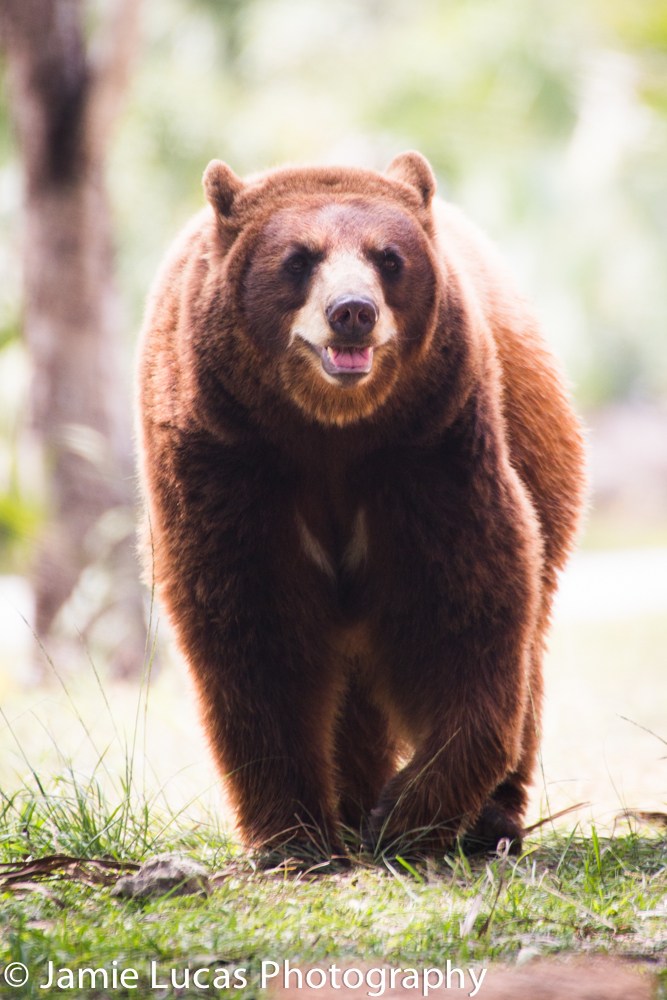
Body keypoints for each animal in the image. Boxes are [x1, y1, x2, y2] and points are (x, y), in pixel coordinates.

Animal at [136, 151, 586, 863]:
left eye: (388, 257)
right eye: (298, 258)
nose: (352, 310)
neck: (329, 430)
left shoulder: (428, 445)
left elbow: (461, 609)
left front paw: (407, 814)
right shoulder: (229, 457)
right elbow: (253, 625)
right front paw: (295, 833)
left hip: (542, 453)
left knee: (528, 651)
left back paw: (490, 819)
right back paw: (350, 803)